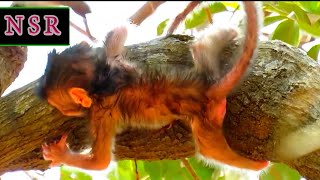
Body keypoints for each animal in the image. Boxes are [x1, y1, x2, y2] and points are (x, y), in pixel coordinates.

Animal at [37, 1, 268, 172]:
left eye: (60, 106)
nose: (61, 111)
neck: (99, 83)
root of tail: (205, 90)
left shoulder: (100, 114)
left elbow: (100, 162)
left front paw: (61, 155)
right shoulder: (110, 63)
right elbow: (119, 32)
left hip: (205, 119)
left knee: (210, 149)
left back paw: (257, 165)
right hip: (206, 69)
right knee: (201, 47)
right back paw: (228, 32)